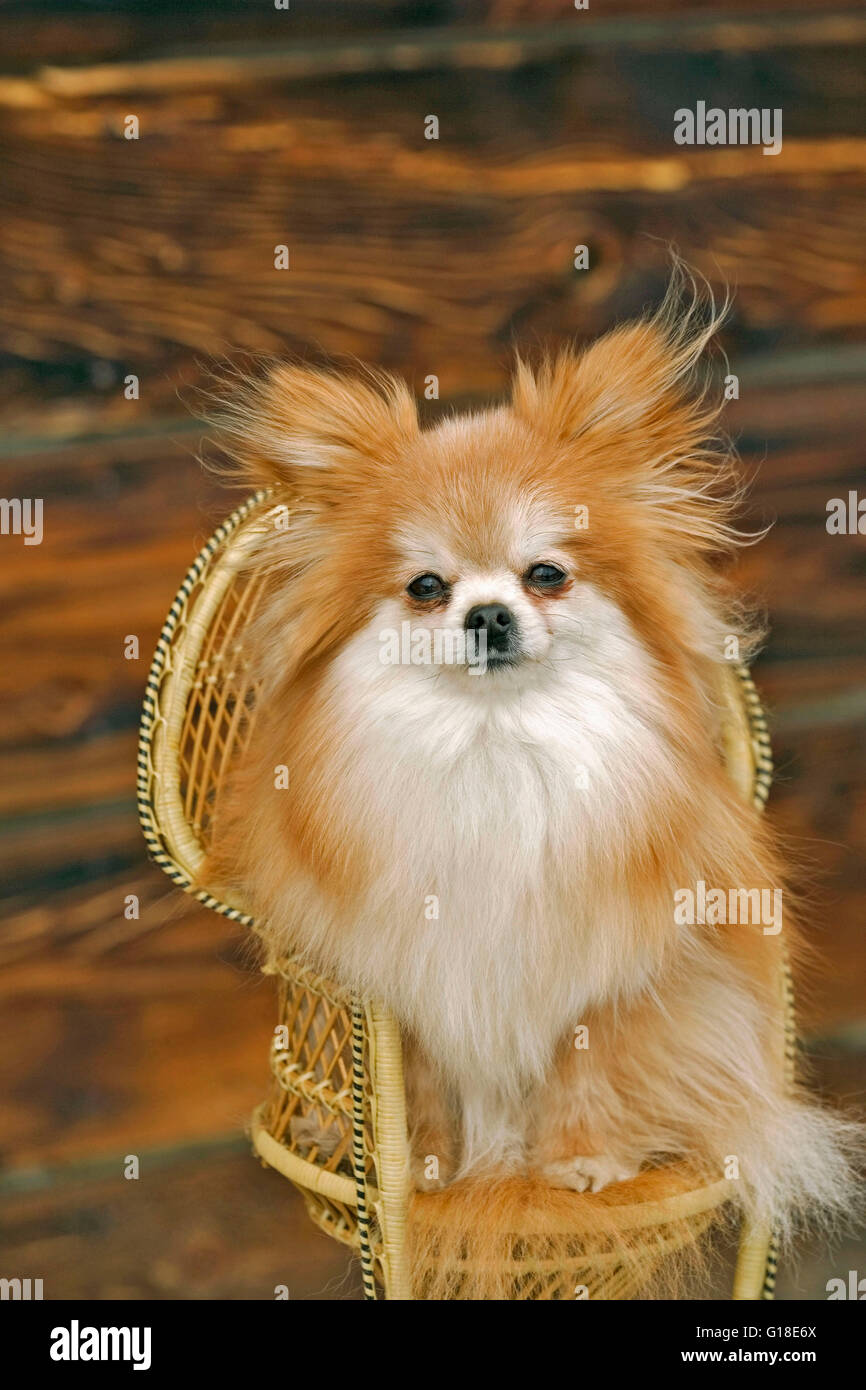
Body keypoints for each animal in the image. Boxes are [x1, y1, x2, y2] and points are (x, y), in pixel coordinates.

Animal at [208, 276, 861, 1295]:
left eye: (546, 574)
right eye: (426, 587)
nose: (487, 614)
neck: (497, 746)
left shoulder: (615, 971)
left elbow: (588, 1067)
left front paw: (583, 1161)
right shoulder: (407, 979)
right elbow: (425, 1085)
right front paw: (431, 1164)